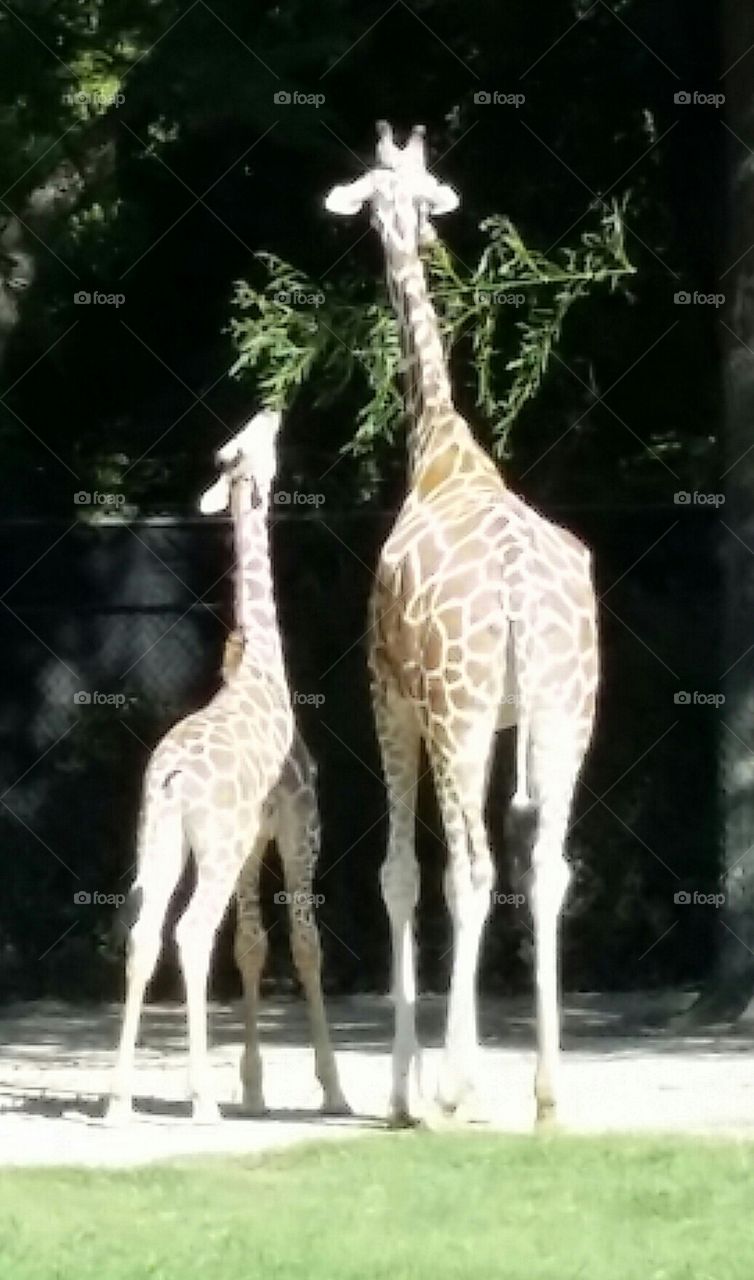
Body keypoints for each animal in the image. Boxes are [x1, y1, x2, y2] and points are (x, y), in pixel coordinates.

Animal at [109, 409, 296, 1121]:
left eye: (228, 450)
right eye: (249, 447)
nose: (274, 409)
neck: (263, 668)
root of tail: (171, 779)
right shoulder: (263, 831)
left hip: (157, 838)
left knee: (142, 934)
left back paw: (117, 1103)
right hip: (214, 847)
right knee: (190, 933)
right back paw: (204, 1102)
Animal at [326, 124, 596, 1131]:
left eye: (373, 194)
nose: (408, 230)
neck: (442, 450)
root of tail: (518, 591)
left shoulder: (388, 695)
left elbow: (401, 874)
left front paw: (410, 1089)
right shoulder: (498, 718)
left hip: (457, 707)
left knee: (471, 869)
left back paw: (449, 1091)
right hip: (563, 709)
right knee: (547, 866)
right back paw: (548, 1095)